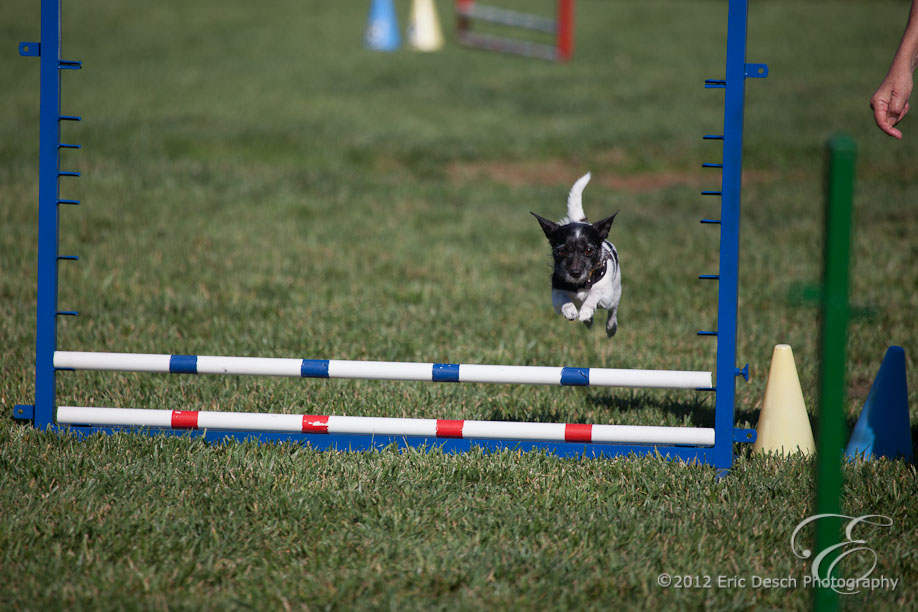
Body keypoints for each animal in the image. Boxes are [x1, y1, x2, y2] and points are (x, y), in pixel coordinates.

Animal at [536, 172, 620, 338]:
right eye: (562, 251)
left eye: (588, 250)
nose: (575, 272)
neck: (580, 284)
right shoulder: (556, 296)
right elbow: (563, 299)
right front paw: (570, 310)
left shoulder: (605, 295)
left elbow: (594, 294)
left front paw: (586, 311)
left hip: (615, 294)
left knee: (612, 311)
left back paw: (610, 327)